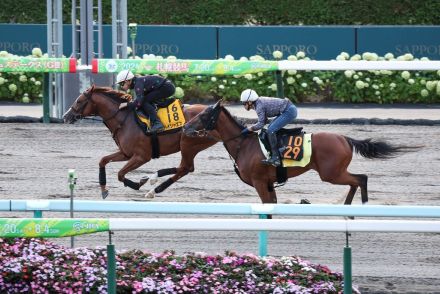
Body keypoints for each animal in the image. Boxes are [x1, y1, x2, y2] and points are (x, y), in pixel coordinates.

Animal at [63, 85, 217, 200]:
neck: (123, 119)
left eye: (79, 101)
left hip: (189, 145)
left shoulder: (141, 157)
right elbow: (103, 160)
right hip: (191, 146)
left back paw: (153, 184)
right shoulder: (126, 153)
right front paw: (103, 190)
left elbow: (120, 174)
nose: (65, 116)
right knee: (185, 168)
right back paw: (154, 182)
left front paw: (138, 183)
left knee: (185, 168)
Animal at [183, 100, 416, 204]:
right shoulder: (268, 183)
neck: (244, 144)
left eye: (203, 115)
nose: (185, 127)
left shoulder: (259, 182)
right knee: (356, 181)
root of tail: (345, 139)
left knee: (361, 179)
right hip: (334, 172)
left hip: (331, 173)